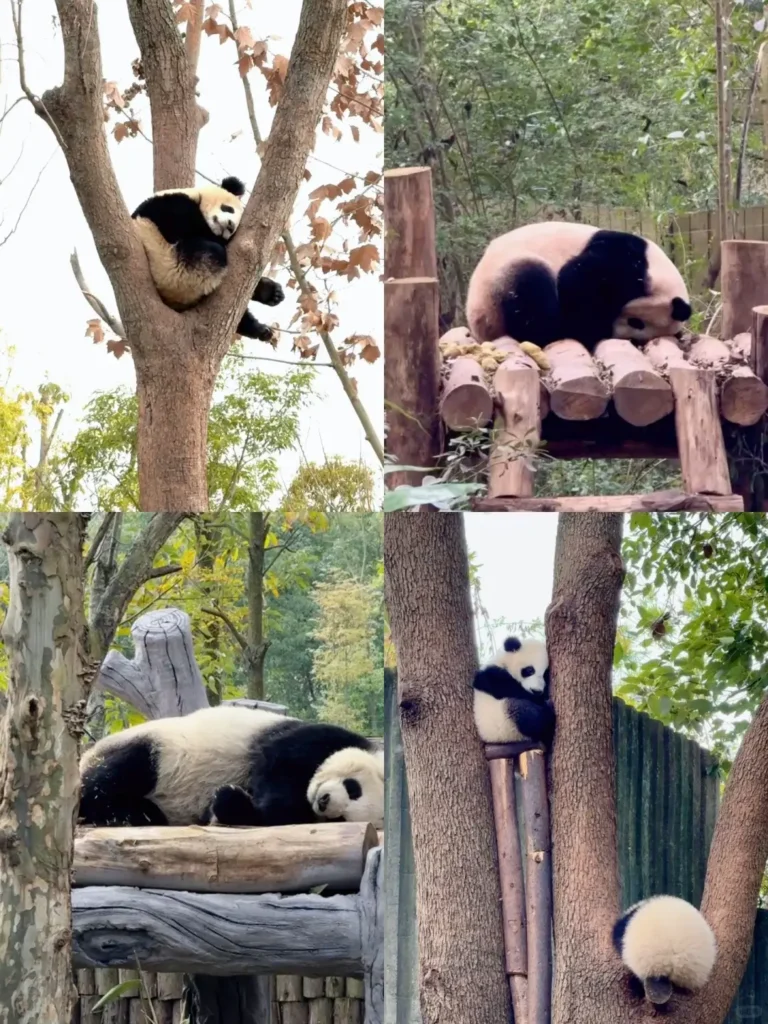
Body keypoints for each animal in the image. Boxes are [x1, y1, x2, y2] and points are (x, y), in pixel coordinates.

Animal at [79, 705, 384, 829]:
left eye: (341, 819)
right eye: (353, 788)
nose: (323, 801)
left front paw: (227, 801)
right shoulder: (316, 739)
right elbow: (279, 759)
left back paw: (141, 813)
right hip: (158, 750)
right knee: (117, 773)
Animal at [131, 176, 284, 342]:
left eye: (236, 227)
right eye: (228, 209)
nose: (230, 226)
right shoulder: (168, 205)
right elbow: (184, 225)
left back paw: (267, 304)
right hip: (173, 269)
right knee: (211, 253)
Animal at [466, 221, 692, 352]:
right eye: (637, 322)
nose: (615, 333)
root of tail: (480, 324)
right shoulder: (625, 261)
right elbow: (576, 280)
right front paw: (591, 328)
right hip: (501, 278)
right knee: (531, 289)